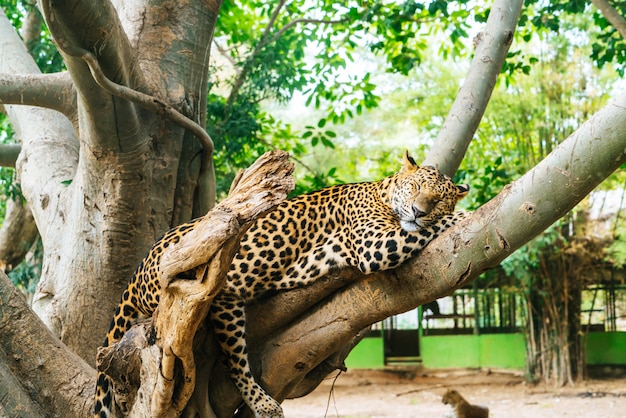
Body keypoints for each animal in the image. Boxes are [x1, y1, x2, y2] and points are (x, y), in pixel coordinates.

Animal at [94, 151, 468, 418]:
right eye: (416, 188)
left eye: (438, 199)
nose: (419, 211)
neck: (383, 190)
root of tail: (136, 272)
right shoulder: (372, 246)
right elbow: (425, 230)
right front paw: (462, 215)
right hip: (216, 294)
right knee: (235, 360)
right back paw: (263, 403)